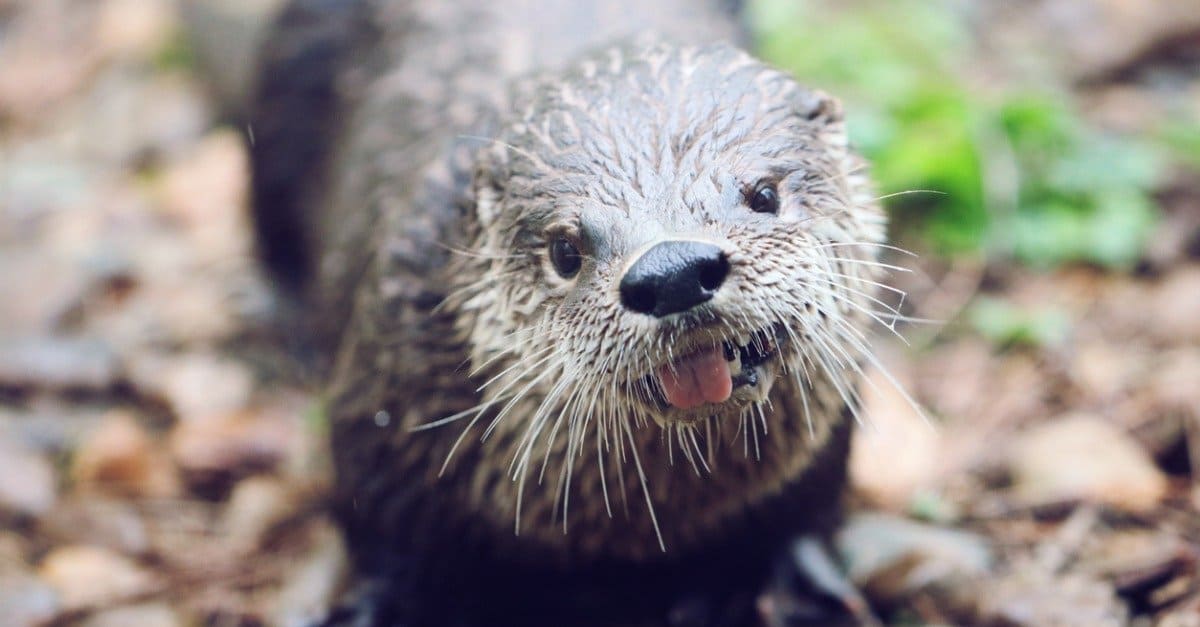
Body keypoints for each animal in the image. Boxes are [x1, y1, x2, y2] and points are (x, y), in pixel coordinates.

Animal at [250, 1, 892, 624]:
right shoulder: (387, 383)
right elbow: (383, 533)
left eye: (764, 194)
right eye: (564, 251)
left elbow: (807, 501)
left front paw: (794, 578)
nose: (674, 271)